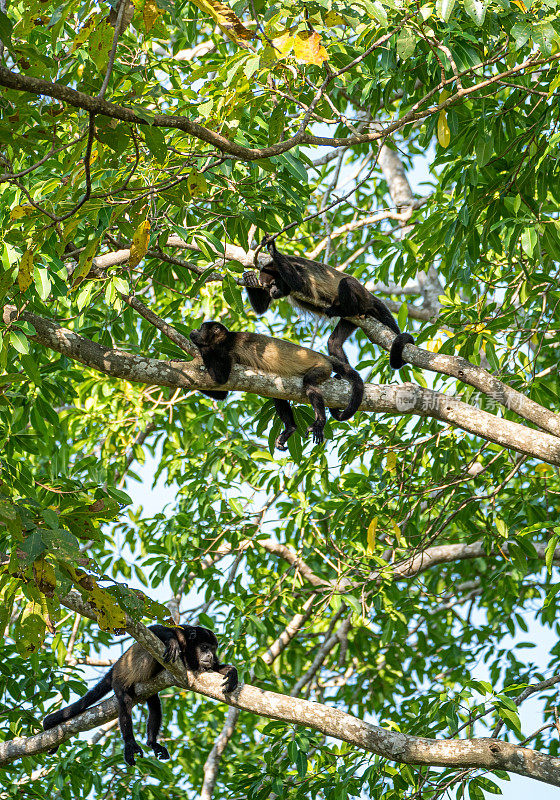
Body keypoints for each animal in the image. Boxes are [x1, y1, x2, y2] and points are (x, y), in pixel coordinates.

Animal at [43, 624, 236, 768]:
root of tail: (116, 667)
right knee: (125, 703)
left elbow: (216, 669)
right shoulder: (181, 634)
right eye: (204, 647)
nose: (210, 655)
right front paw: (172, 642)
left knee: (155, 706)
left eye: (213, 649)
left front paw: (232, 674)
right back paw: (130, 743)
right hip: (119, 682)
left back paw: (152, 742)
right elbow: (155, 629)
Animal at [189, 322, 364, 454]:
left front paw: (200, 348)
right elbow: (222, 393)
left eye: (202, 327)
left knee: (309, 383)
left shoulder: (224, 350)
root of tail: (323, 357)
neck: (223, 339)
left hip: (322, 367)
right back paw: (290, 428)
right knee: (278, 395)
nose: (195, 330)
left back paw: (320, 421)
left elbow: (221, 379)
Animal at [243, 233, 414, 368]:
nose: (271, 292)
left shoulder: (297, 268)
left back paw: (342, 309)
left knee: (346, 283)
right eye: (266, 288)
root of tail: (370, 296)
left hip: (362, 299)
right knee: (334, 343)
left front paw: (272, 249)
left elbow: (299, 283)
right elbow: (261, 309)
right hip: (352, 321)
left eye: (273, 284)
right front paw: (249, 278)